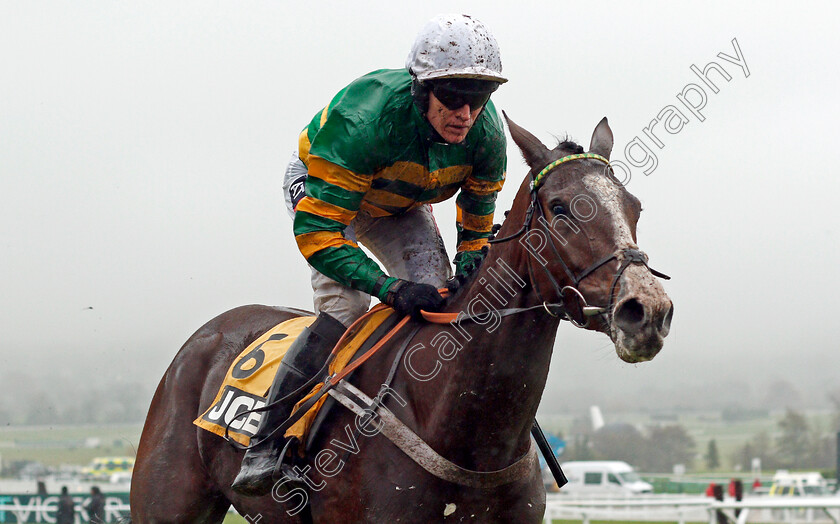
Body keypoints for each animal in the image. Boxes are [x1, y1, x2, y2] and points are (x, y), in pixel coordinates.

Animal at [128, 115, 672, 524]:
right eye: (560, 208)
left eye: (635, 207)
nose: (648, 309)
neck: (464, 426)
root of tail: (209, 332)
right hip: (166, 501)